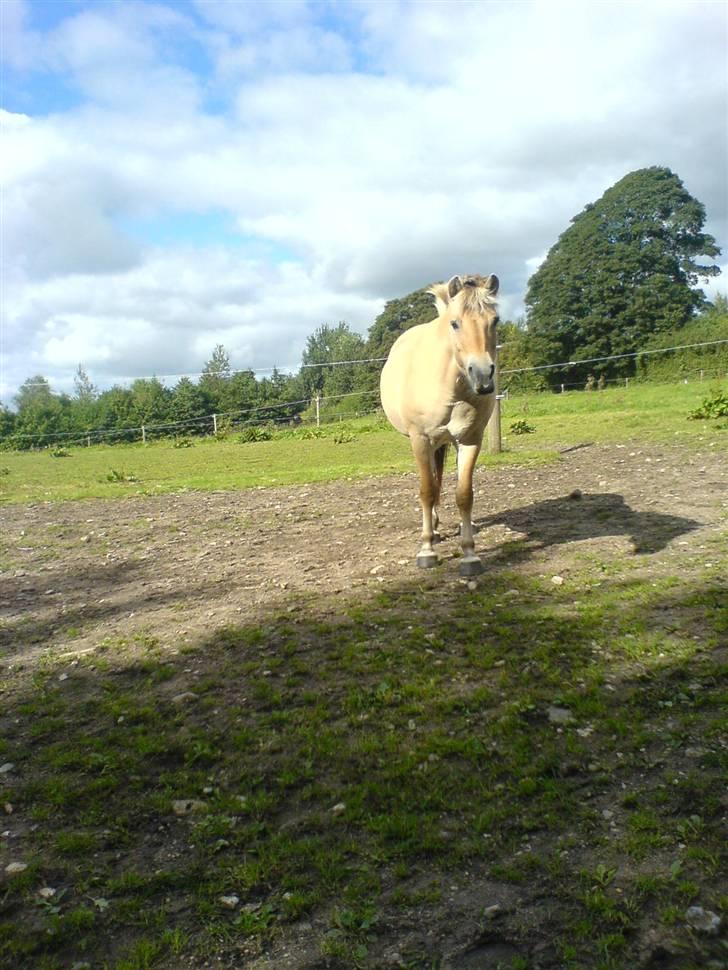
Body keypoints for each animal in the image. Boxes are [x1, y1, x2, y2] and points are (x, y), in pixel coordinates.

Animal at [378, 272, 498, 576]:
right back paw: (433, 528)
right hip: (429, 443)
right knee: (432, 483)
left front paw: (469, 555)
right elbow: (426, 491)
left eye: (495, 320)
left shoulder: (470, 440)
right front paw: (426, 549)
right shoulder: (420, 440)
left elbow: (464, 494)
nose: (482, 376)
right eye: (455, 323)